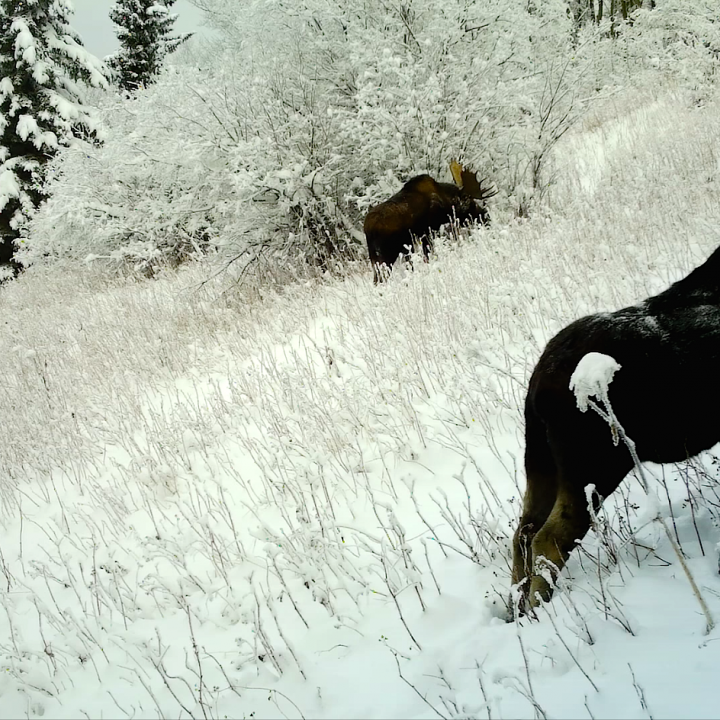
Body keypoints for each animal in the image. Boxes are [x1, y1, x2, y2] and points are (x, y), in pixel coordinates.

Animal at [366, 160, 496, 284]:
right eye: (471, 204)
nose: (486, 216)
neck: (445, 204)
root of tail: (368, 229)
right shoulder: (429, 231)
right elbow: (428, 255)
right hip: (386, 255)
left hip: (375, 258)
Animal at [512, 246, 720, 612]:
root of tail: (536, 392)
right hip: (595, 464)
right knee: (549, 537)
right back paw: (540, 606)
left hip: (540, 460)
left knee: (523, 532)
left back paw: (517, 609)